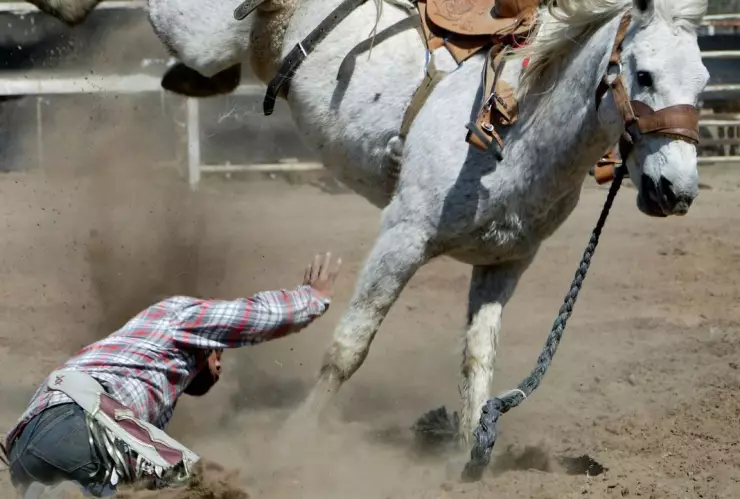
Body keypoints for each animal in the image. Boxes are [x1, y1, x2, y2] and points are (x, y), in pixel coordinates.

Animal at [27, 0, 709, 451]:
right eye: (643, 73)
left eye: (703, 81)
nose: (676, 191)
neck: (519, 126)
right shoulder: (402, 237)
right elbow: (349, 347)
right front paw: (295, 439)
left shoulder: (505, 262)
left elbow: (477, 361)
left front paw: (466, 455)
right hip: (198, 30)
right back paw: (64, 9)